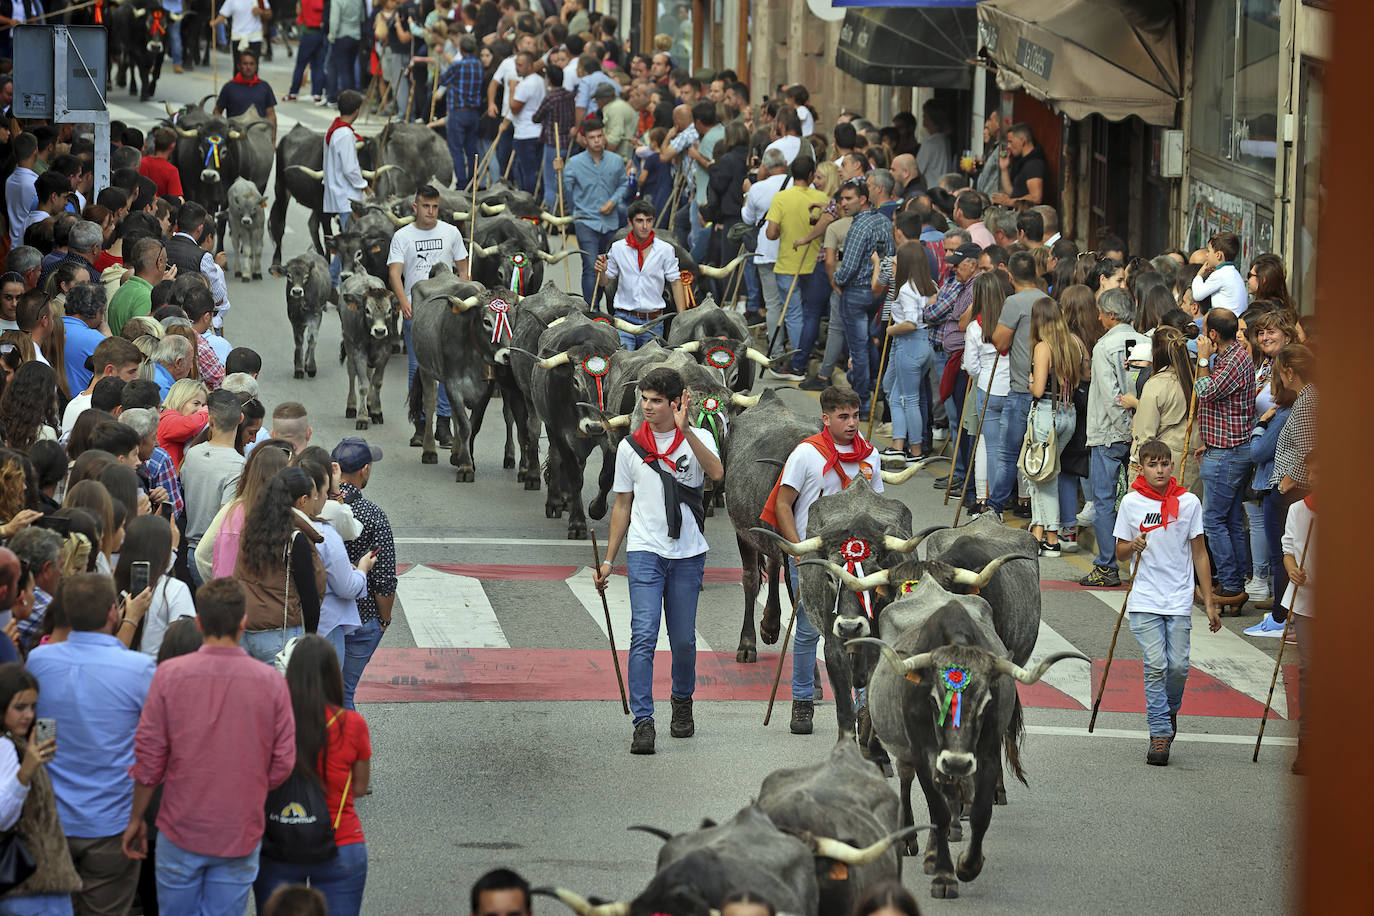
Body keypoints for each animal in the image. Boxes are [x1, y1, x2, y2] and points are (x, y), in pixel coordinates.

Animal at [280, 251, 331, 379]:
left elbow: (312, 340)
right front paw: (299, 368)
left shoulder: (316, 316)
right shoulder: (294, 319)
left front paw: (311, 367)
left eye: (306, 276)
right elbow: (298, 341)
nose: (297, 291)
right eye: (288, 275)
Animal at [336, 271, 395, 431]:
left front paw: (376, 411)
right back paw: (351, 407)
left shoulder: (385, 354)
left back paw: (369, 403)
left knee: (369, 375)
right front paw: (362, 417)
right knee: (352, 373)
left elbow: (377, 382)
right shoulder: (359, 353)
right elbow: (363, 385)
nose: (380, 330)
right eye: (367, 310)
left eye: (389, 311)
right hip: (348, 344)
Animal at [846, 576, 1082, 900]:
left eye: (985, 703)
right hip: (907, 752)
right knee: (908, 781)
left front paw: (968, 864)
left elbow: (980, 812)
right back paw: (911, 839)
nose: (956, 762)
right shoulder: (924, 754)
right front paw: (944, 875)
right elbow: (938, 811)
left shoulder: (986, 754)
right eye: (934, 700)